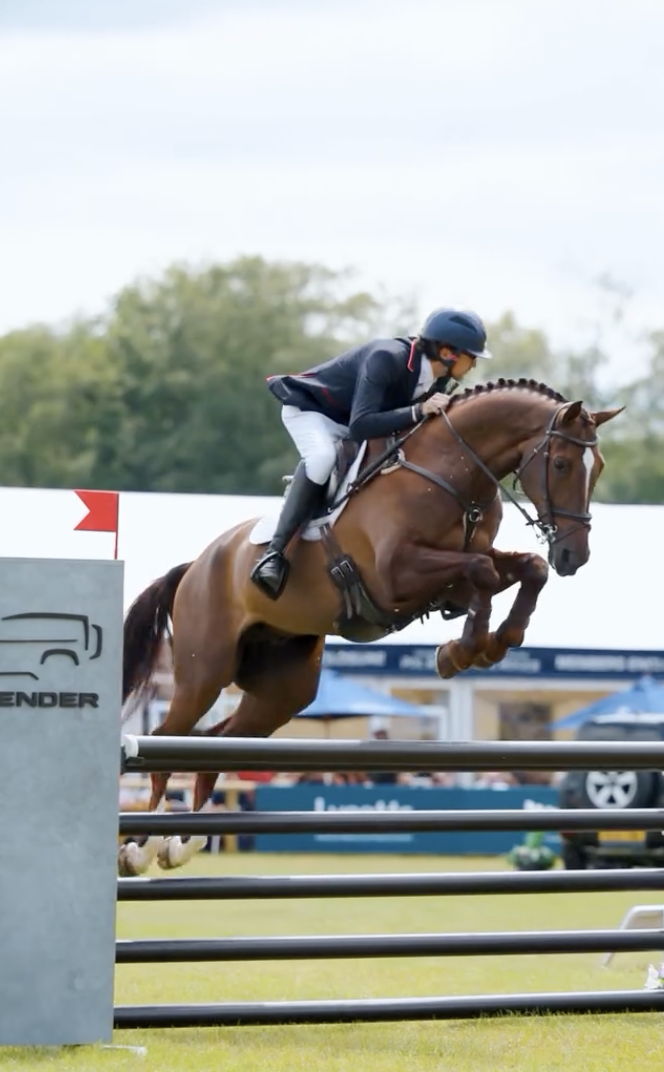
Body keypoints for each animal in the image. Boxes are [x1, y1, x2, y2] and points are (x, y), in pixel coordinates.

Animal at [119, 378, 621, 874]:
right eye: (561, 464)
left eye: (598, 468)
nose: (574, 556)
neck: (453, 475)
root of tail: (196, 566)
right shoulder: (396, 577)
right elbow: (480, 570)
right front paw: (463, 649)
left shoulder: (463, 567)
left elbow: (525, 568)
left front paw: (489, 644)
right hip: (204, 673)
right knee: (164, 740)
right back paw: (140, 848)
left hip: (284, 688)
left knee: (216, 741)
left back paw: (184, 843)